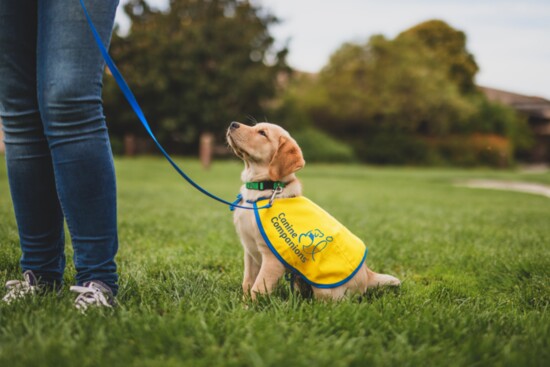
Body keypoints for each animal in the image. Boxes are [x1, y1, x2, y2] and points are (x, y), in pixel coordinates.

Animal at [226, 122, 404, 300]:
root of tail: (368, 274)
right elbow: (247, 283)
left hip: (325, 286)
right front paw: (243, 303)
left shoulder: (272, 259)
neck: (263, 189)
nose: (233, 124)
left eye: (262, 133)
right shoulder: (250, 252)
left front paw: (250, 305)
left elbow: (257, 288)